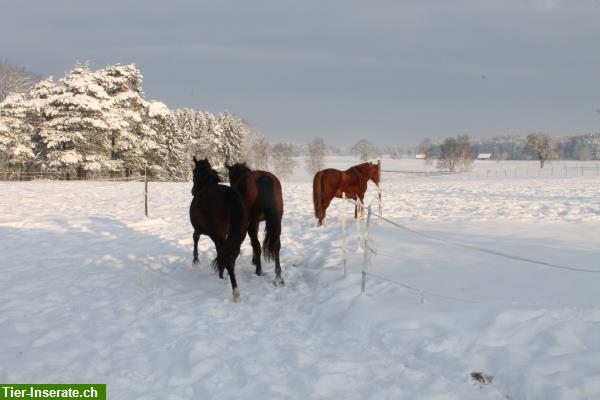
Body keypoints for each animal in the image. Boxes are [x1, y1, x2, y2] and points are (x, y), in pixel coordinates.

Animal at [192, 156, 248, 300]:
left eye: (194, 172)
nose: (192, 191)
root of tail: (230, 195)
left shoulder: (199, 229)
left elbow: (195, 238)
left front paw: (195, 260)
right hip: (239, 235)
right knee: (233, 254)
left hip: (218, 235)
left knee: (226, 257)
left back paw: (234, 290)